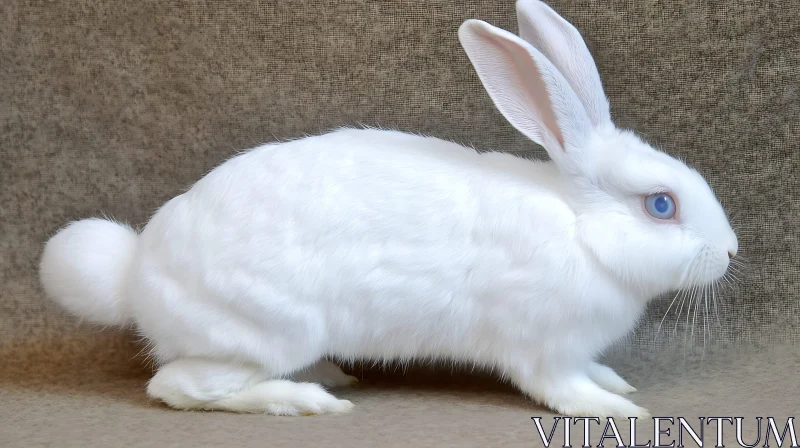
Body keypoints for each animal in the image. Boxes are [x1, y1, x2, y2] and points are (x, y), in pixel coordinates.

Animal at [37, 0, 736, 418]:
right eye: (661, 205)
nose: (730, 251)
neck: (584, 232)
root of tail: (132, 273)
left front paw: (616, 383)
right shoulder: (542, 346)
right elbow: (561, 388)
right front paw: (617, 411)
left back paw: (332, 377)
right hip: (267, 328)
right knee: (177, 387)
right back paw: (308, 400)